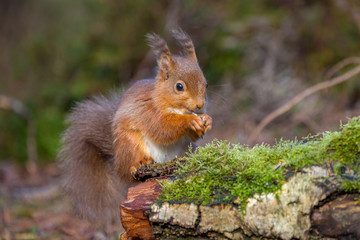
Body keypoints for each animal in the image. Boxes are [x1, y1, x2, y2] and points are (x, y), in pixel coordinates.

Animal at [58, 29, 212, 224]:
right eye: (179, 87)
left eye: (206, 84)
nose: (200, 105)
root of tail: (117, 159)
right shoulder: (148, 112)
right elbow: (163, 128)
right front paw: (190, 121)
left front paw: (206, 120)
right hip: (130, 144)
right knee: (128, 170)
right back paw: (138, 164)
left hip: (186, 148)